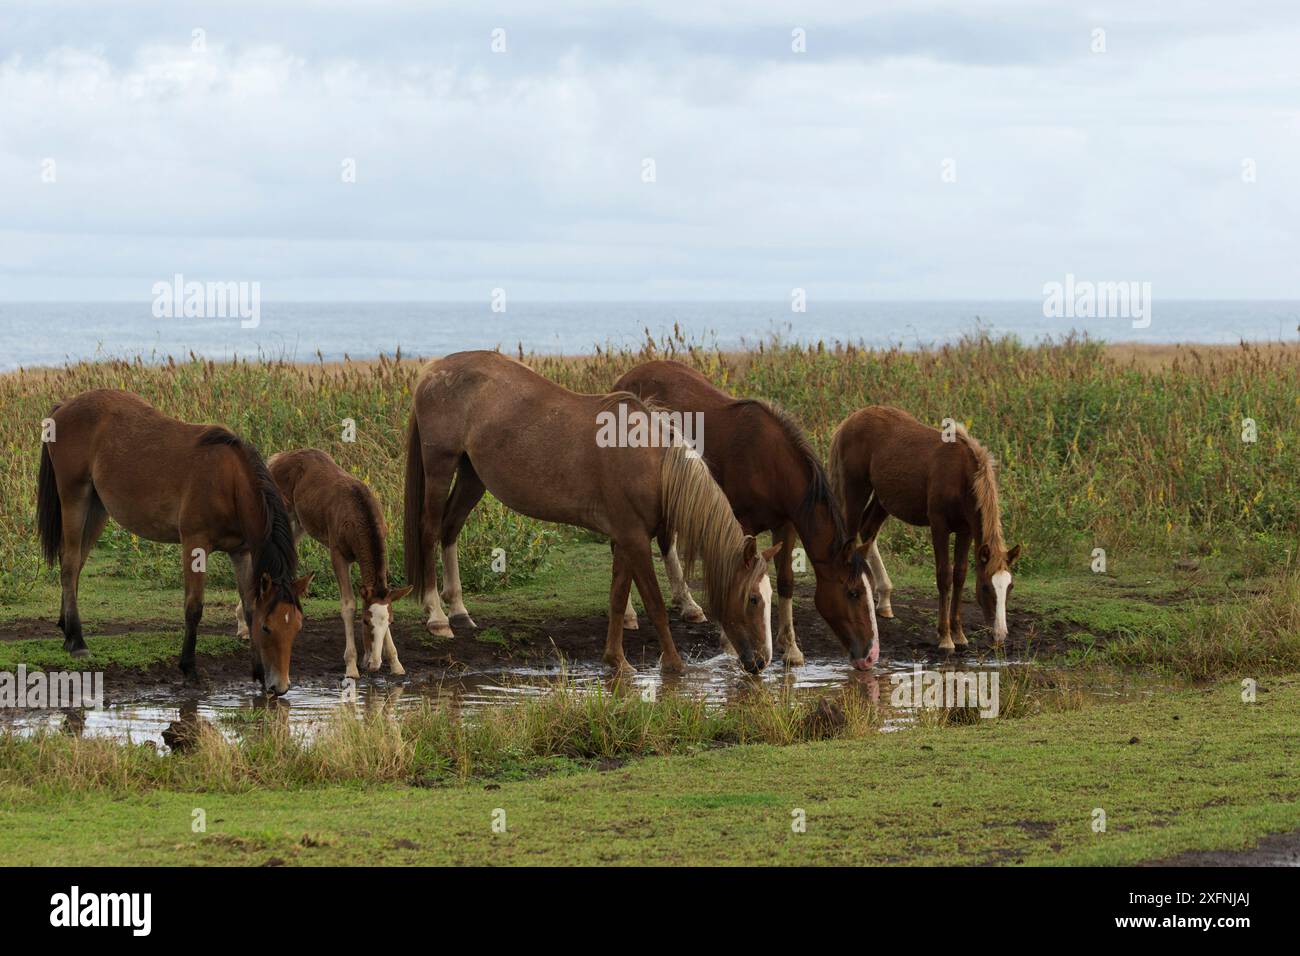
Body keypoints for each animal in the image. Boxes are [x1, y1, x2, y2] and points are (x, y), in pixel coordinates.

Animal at [35, 389, 312, 694]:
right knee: (70, 564)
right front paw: (189, 667)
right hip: (75, 497)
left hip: (97, 508)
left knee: (75, 563)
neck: (228, 482)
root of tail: (65, 406)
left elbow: (250, 606)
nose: (280, 686)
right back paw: (77, 641)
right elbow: (194, 607)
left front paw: (259, 672)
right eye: (267, 628)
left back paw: (67, 629)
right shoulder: (195, 544)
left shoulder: (242, 552)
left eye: (297, 627)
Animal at [234, 449, 412, 680]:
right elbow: (348, 605)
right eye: (365, 621)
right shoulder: (338, 554)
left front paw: (394, 662)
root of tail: (275, 458)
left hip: (298, 524)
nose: (374, 664)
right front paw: (351, 666)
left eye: (390, 622)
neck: (358, 516)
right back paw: (243, 624)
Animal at [403, 350, 780, 676]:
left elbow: (617, 598)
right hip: (440, 466)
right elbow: (655, 603)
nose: (762, 661)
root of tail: (434, 370)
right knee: (430, 530)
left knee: (450, 528)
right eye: (752, 599)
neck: (652, 463)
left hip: (472, 475)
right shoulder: (634, 540)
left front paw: (617, 661)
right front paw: (673, 665)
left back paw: (458, 610)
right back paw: (437, 616)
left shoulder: (626, 538)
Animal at [612, 360, 879, 669]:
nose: (871, 655)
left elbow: (786, 581)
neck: (770, 464)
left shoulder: (786, 524)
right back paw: (629, 614)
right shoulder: (742, 523)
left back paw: (688, 605)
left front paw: (791, 648)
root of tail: (624, 381)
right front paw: (730, 643)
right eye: (853, 593)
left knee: (666, 542)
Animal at [829, 405, 1021, 652]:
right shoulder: (939, 526)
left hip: (884, 499)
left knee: (868, 529)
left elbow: (960, 575)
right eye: (987, 588)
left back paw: (884, 600)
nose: (1000, 635)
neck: (961, 476)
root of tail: (851, 420)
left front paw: (959, 634)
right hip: (856, 490)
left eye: (1010, 587)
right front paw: (945, 638)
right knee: (852, 535)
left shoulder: (965, 530)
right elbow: (944, 576)